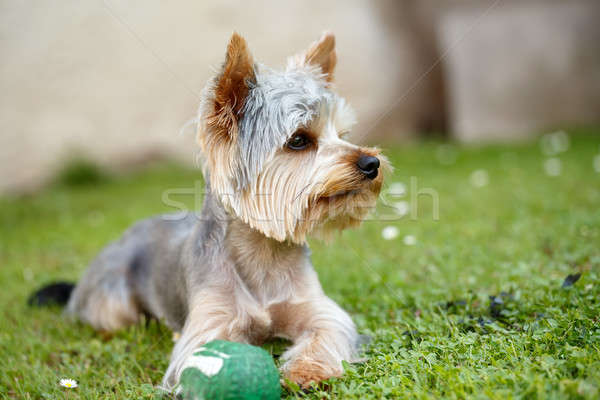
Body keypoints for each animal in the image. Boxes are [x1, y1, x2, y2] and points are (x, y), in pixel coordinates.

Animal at [30, 31, 386, 390]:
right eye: (298, 140)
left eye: (343, 134)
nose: (372, 163)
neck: (264, 252)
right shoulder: (209, 324)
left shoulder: (316, 308)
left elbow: (328, 329)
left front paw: (307, 370)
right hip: (111, 298)